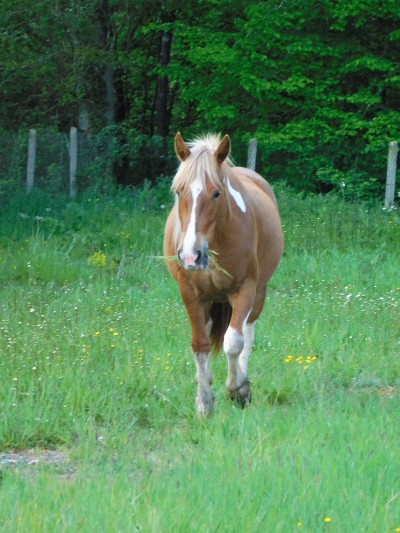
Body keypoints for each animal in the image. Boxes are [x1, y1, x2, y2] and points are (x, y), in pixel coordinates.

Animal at [164, 133, 282, 416]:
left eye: (216, 193)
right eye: (178, 191)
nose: (190, 256)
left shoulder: (245, 289)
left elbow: (234, 342)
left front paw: (237, 390)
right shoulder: (190, 294)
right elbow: (200, 345)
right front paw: (204, 401)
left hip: (258, 294)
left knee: (247, 336)